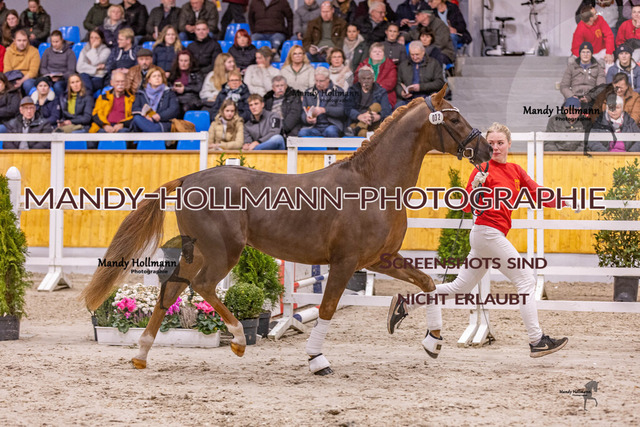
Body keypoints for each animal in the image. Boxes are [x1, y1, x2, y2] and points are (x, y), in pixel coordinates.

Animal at [80, 84, 493, 375]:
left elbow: (427, 284)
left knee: (171, 288)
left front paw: (433, 342)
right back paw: (237, 339)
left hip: (198, 251)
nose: (486, 150)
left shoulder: (380, 258)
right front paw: (317, 360)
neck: (373, 183)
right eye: (454, 120)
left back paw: (142, 353)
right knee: (202, 286)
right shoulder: (345, 263)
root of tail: (187, 179)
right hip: (222, 251)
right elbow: (327, 308)